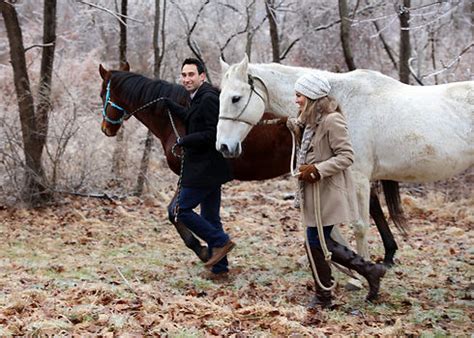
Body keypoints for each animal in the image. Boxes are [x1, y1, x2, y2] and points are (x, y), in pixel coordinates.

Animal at [99, 62, 400, 266]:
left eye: (103, 92)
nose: (106, 129)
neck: (179, 118)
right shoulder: (205, 182)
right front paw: (214, 250)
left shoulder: (191, 179)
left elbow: (174, 212)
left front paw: (202, 249)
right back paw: (387, 252)